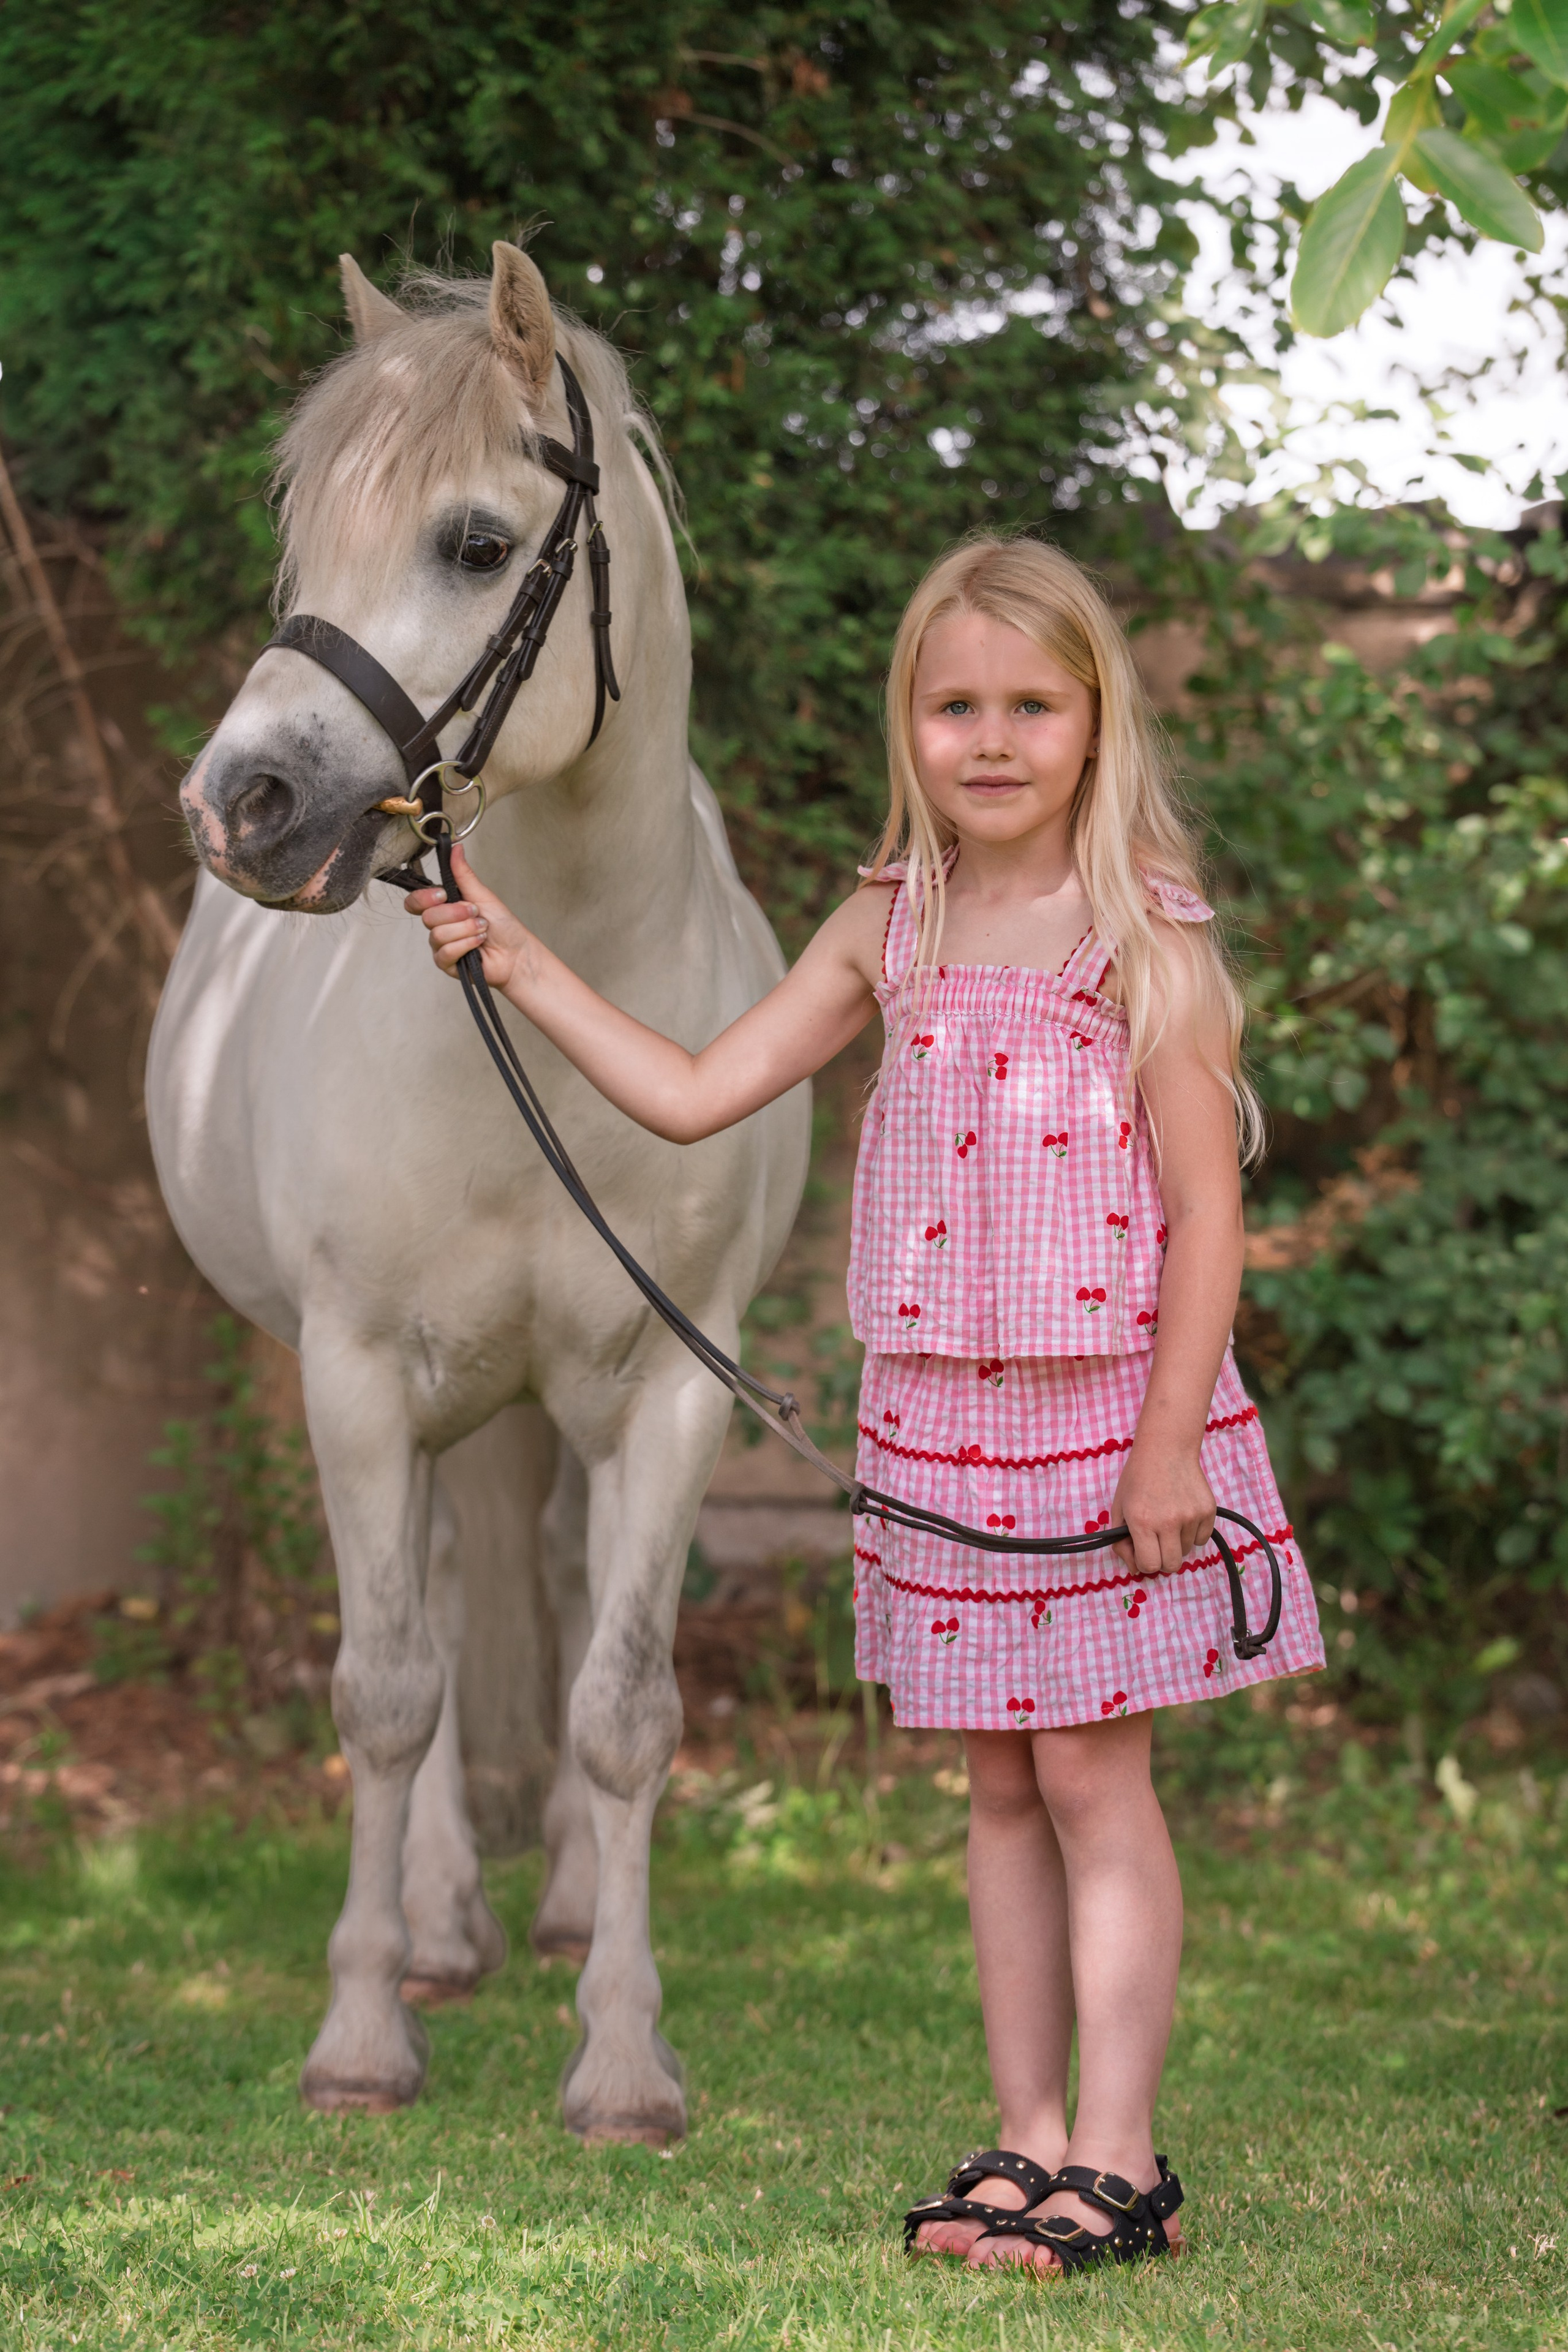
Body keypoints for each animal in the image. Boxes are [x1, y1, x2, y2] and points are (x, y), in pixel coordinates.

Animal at [147, 242, 811, 2140]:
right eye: (305, 539)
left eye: (473, 543)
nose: (242, 804)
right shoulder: (358, 1375)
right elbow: (383, 1693)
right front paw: (364, 2032)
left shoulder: (675, 1387)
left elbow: (625, 1707)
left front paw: (626, 2057)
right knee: (436, 1612)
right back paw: (442, 1923)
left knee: (568, 1591)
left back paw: (569, 1902)